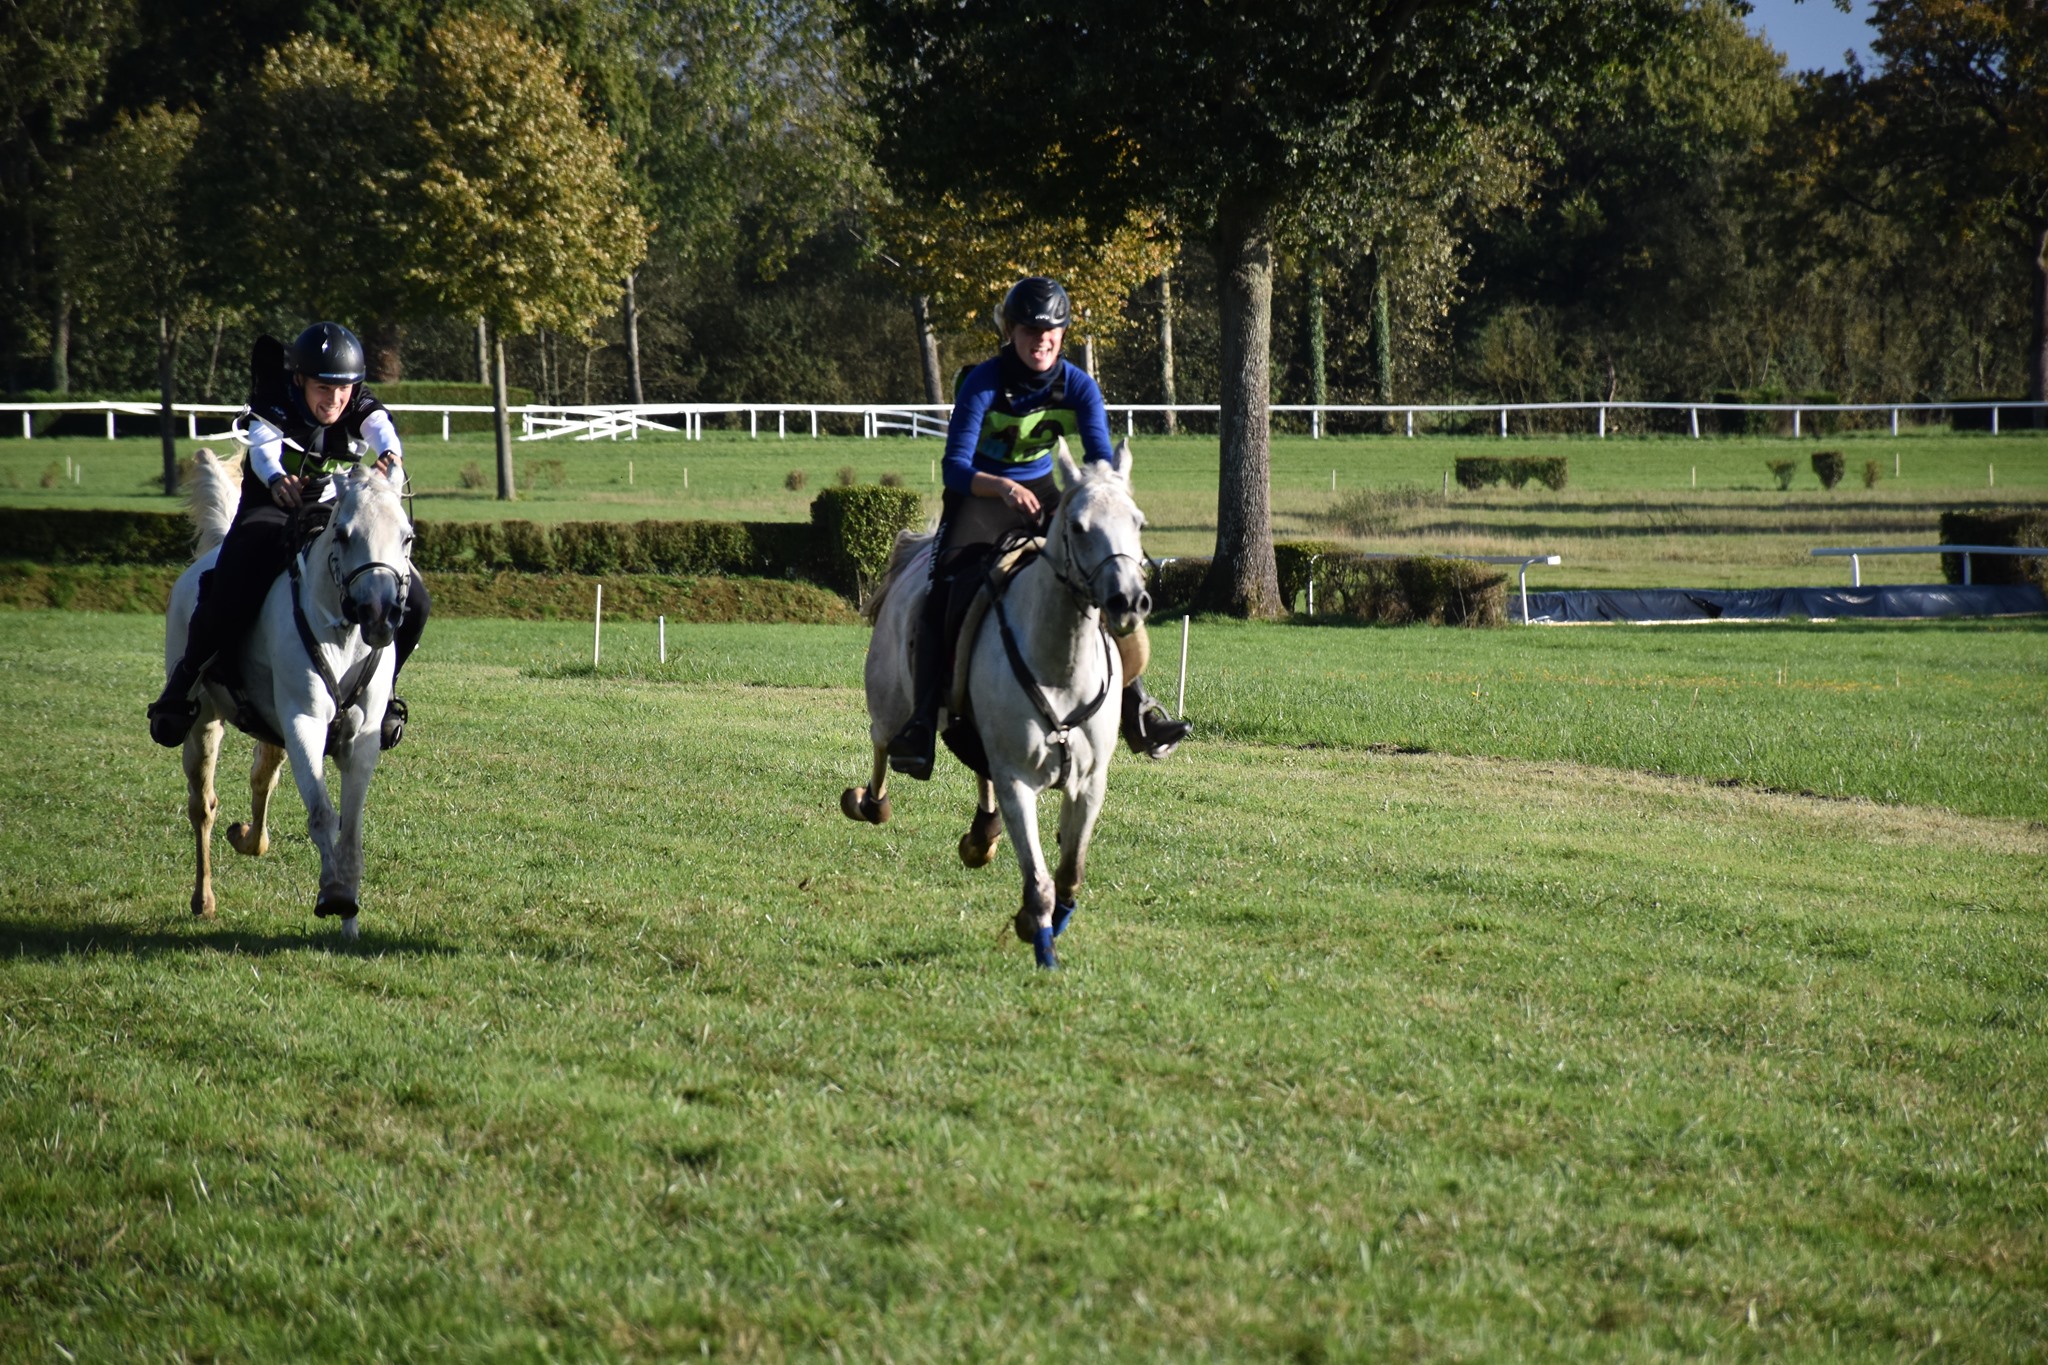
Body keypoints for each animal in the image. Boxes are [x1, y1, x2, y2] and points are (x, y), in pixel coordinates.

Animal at [165, 448, 413, 941]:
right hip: (203, 723)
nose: (380, 615)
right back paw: (203, 899)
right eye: (344, 534)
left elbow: (350, 824)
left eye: (407, 538)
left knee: (262, 777)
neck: (343, 632)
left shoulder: (361, 738)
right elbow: (322, 813)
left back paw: (249, 838)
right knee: (202, 806)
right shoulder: (305, 723)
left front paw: (350, 917)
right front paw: (334, 896)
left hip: (270, 728)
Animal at [839, 444, 1146, 965]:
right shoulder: (1018, 781)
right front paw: (1043, 950)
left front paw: (1045, 923)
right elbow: (1040, 882)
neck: (1060, 664)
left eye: (1138, 522)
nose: (1128, 600)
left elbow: (1069, 874)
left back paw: (982, 835)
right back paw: (870, 802)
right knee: (882, 745)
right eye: (1079, 526)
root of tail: (917, 551)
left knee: (976, 772)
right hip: (891, 701)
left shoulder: (1089, 784)